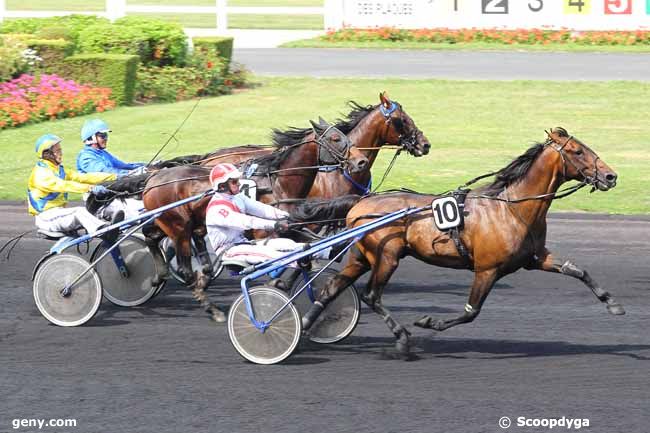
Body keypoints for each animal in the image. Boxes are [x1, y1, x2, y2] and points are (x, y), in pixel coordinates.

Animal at [302, 127, 620, 354]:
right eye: (578, 151)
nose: (610, 176)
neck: (512, 208)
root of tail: (361, 202)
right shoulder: (487, 269)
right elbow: (471, 311)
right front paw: (429, 322)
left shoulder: (535, 258)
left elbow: (576, 269)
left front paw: (612, 303)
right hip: (387, 256)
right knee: (371, 295)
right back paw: (402, 338)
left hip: (362, 257)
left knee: (331, 287)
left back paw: (305, 325)